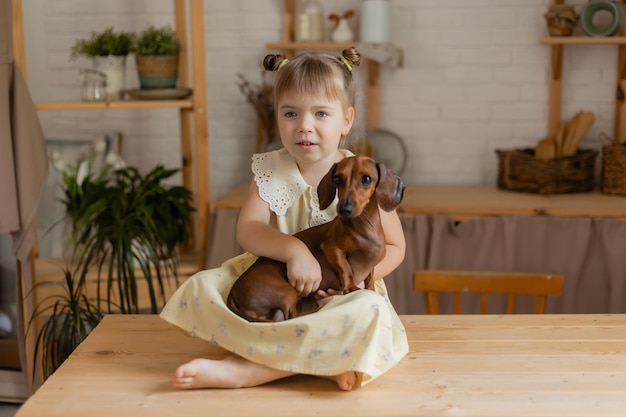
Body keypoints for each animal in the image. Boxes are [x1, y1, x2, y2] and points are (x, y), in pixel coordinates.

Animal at [227, 156, 402, 322]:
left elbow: (370, 277)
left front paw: (370, 289)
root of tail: (233, 294)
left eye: (366, 179)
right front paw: (351, 287)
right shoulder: (331, 247)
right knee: (291, 316)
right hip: (286, 291)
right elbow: (346, 268)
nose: (344, 209)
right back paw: (320, 309)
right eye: (337, 179)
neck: (365, 225)